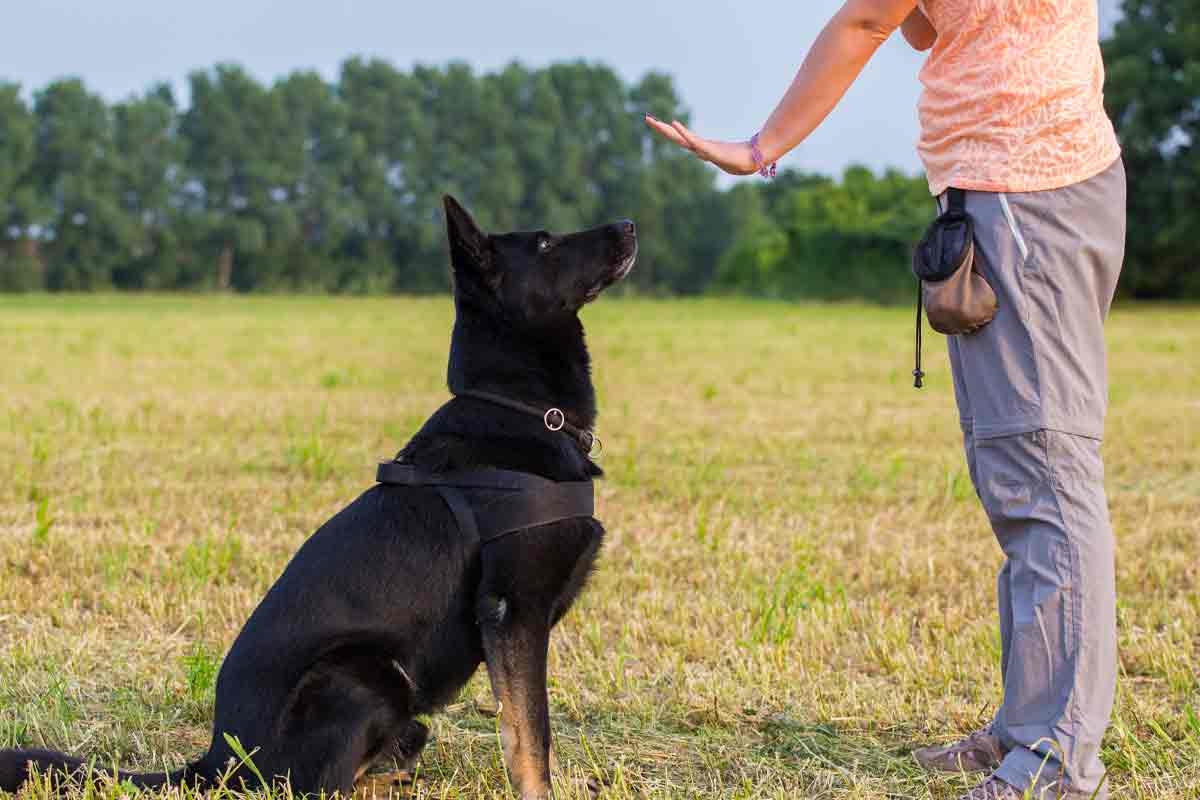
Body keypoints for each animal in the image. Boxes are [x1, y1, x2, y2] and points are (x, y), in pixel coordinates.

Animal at [0, 195, 638, 800]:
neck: (520, 408)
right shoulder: (514, 613)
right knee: (318, 784)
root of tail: (219, 760)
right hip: (366, 674)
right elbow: (532, 735)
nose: (629, 225)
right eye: (546, 243)